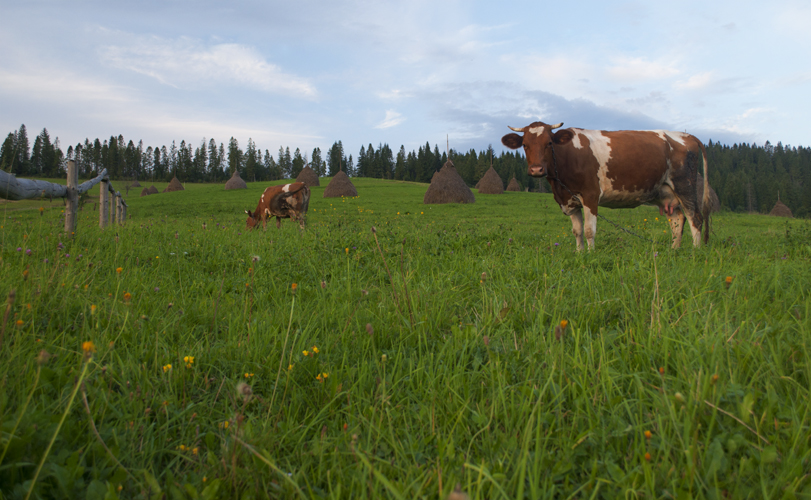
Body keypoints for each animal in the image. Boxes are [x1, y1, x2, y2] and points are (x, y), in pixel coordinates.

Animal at [502, 121, 712, 250]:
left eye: (549, 143)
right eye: (525, 145)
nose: (536, 169)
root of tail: (687, 135)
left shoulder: (590, 195)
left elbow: (589, 230)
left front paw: (590, 255)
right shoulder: (570, 200)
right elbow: (577, 231)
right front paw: (579, 254)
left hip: (685, 185)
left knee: (695, 218)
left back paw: (694, 252)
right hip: (666, 193)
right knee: (677, 221)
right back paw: (673, 251)